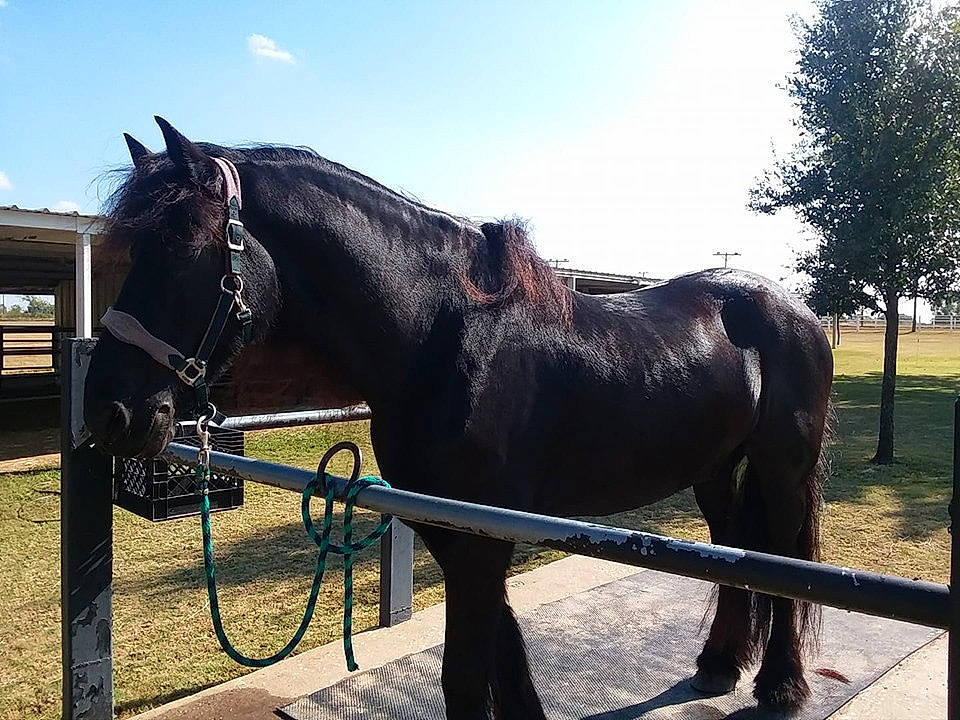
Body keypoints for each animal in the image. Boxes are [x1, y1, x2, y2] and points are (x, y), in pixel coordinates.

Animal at [84, 117, 834, 719]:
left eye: (186, 245)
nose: (107, 411)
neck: (439, 339)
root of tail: (790, 307)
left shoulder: (483, 540)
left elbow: (467, 681)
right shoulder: (459, 534)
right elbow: (505, 660)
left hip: (784, 472)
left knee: (790, 562)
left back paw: (782, 685)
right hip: (716, 470)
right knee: (741, 555)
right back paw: (718, 664)